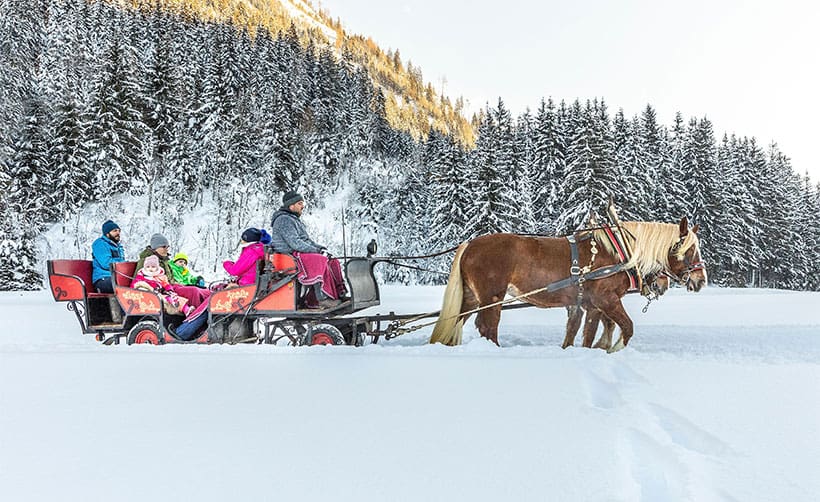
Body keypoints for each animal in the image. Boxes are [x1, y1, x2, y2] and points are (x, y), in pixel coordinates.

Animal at [430, 218, 704, 352]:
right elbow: (625, 327)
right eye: (689, 250)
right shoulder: (604, 300)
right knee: (487, 325)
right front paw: (612, 349)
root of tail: (469, 244)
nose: (701, 280)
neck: (619, 254)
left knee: (459, 319)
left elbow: (583, 330)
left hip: (471, 296)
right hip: (492, 297)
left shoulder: (587, 304)